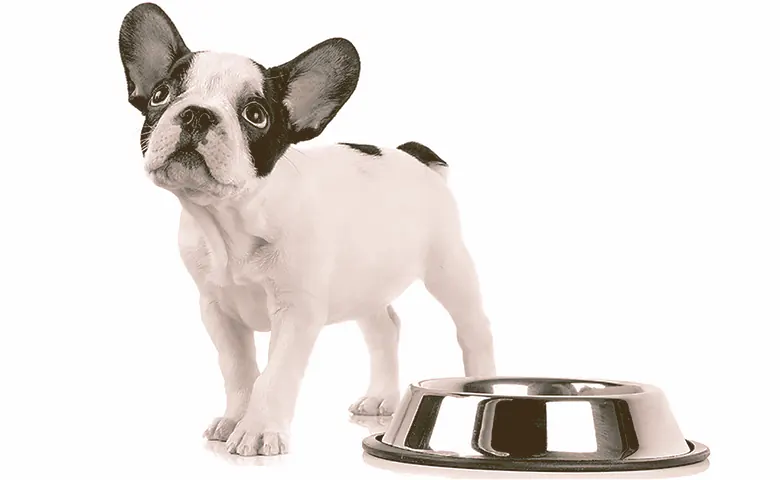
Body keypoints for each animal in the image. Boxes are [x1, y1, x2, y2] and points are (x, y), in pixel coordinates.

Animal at [119, 0, 496, 458]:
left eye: (256, 115)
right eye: (161, 95)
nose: (196, 114)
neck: (233, 219)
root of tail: (413, 155)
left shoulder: (296, 312)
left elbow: (275, 374)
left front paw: (258, 429)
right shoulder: (217, 310)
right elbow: (238, 369)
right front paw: (234, 419)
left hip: (447, 266)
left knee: (473, 328)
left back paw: (481, 385)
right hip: (364, 281)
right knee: (385, 328)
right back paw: (381, 398)